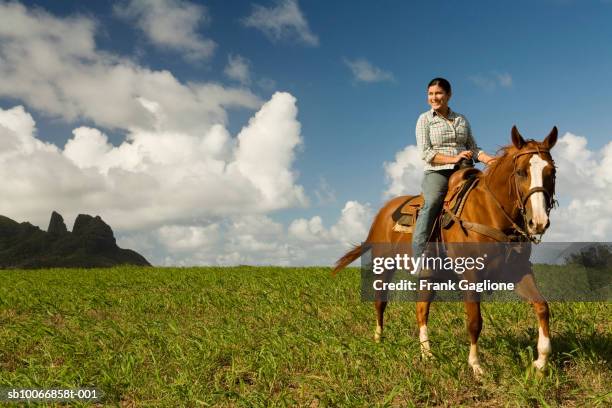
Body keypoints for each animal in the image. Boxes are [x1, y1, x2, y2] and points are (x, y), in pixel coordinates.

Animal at [332, 126, 556, 374]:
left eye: (552, 172)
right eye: (520, 172)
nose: (538, 222)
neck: (491, 212)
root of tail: (381, 214)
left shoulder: (518, 271)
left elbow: (542, 306)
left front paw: (540, 362)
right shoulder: (470, 275)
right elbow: (475, 321)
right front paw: (476, 366)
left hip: (429, 276)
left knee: (421, 310)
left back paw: (427, 354)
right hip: (384, 268)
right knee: (380, 302)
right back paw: (379, 340)